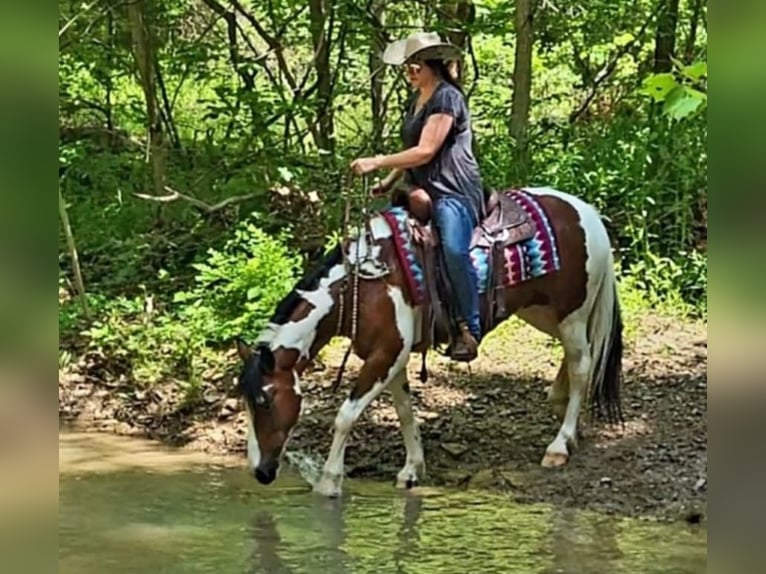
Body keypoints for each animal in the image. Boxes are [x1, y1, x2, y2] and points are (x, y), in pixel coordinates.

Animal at [233, 185, 624, 497]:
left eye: (264, 400)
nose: (261, 472)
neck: (360, 287)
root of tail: (586, 212)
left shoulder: (386, 354)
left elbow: (346, 415)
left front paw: (329, 482)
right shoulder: (393, 357)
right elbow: (405, 411)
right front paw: (412, 470)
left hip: (571, 313)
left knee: (583, 364)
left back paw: (559, 444)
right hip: (542, 312)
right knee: (577, 358)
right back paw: (563, 412)